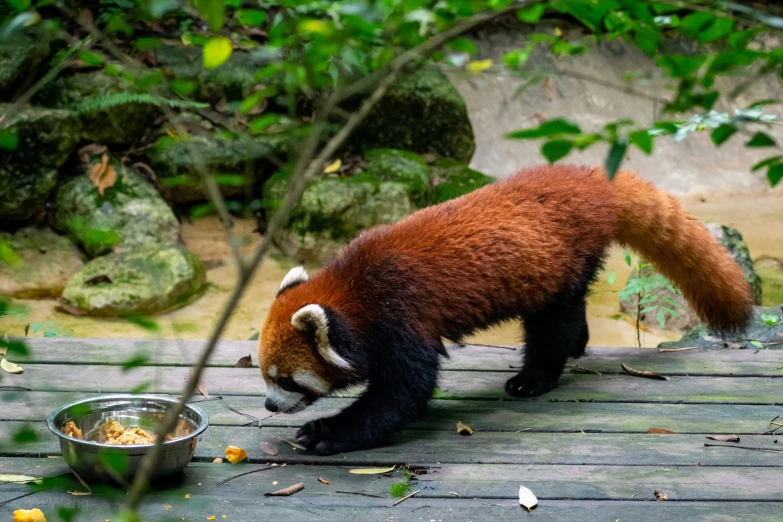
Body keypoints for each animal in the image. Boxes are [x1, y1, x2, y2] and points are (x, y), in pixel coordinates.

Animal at [260, 165, 756, 452]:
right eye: (263, 375)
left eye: (286, 380)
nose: (267, 404)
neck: (355, 287)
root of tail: (589, 178)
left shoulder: (400, 317)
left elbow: (403, 393)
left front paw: (328, 433)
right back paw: (576, 346)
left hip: (561, 261)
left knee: (552, 324)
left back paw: (535, 376)